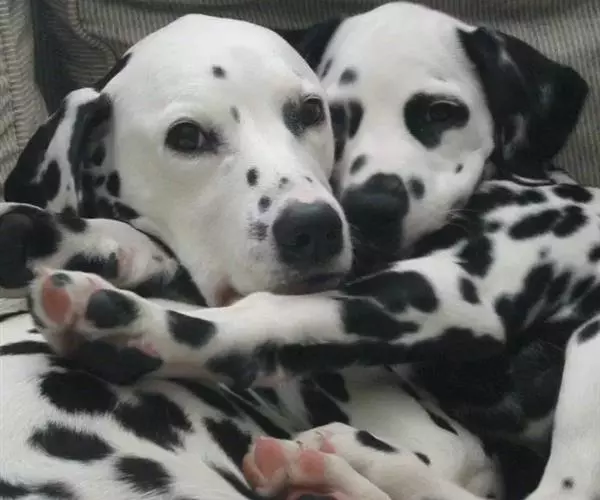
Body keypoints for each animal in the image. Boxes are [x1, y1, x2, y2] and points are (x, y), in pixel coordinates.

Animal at [8, 3, 595, 499]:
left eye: (309, 111)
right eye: (187, 137)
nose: (316, 227)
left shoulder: (454, 301)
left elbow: (261, 318)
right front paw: (70, 239)